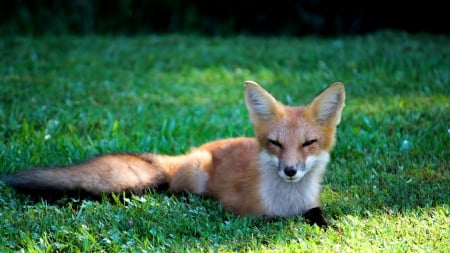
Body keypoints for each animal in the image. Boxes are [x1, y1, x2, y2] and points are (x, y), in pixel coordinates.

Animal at [3, 81, 344, 227]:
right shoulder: (239, 209)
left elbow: (317, 215)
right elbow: (270, 220)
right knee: (174, 190)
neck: (287, 200)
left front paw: (328, 226)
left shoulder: (311, 203)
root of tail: (189, 153)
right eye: (275, 143)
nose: (290, 171)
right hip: (196, 179)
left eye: (308, 143)